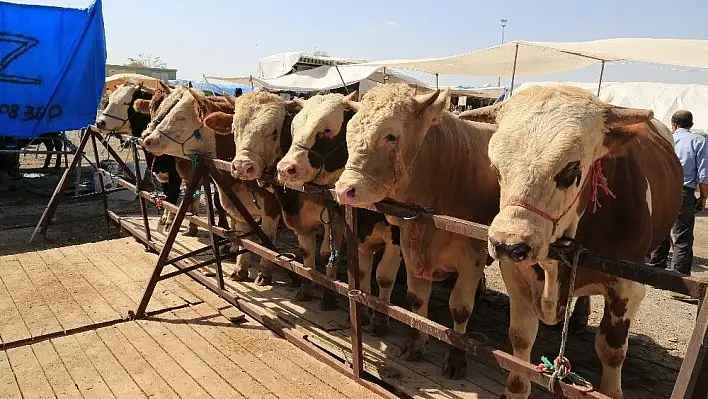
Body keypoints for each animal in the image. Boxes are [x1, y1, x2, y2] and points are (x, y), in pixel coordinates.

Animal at [140, 86, 284, 286]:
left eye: (180, 117)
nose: (147, 138)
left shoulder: (272, 207)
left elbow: (267, 243)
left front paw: (264, 273)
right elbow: (244, 238)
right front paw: (240, 268)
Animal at [272, 91, 404, 334]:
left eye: (326, 129)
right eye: (293, 127)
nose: (285, 169)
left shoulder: (397, 238)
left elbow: (383, 276)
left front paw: (380, 320)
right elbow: (357, 272)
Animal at [334, 83, 500, 380]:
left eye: (391, 136)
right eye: (349, 132)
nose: (344, 190)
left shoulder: (473, 255)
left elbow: (460, 308)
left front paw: (456, 359)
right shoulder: (410, 245)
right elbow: (416, 298)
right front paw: (415, 343)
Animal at [456, 85, 684, 399]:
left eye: (572, 171)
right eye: (496, 169)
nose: (508, 245)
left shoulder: (629, 286)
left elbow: (612, 350)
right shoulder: (515, 273)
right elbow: (521, 337)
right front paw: (516, 387)